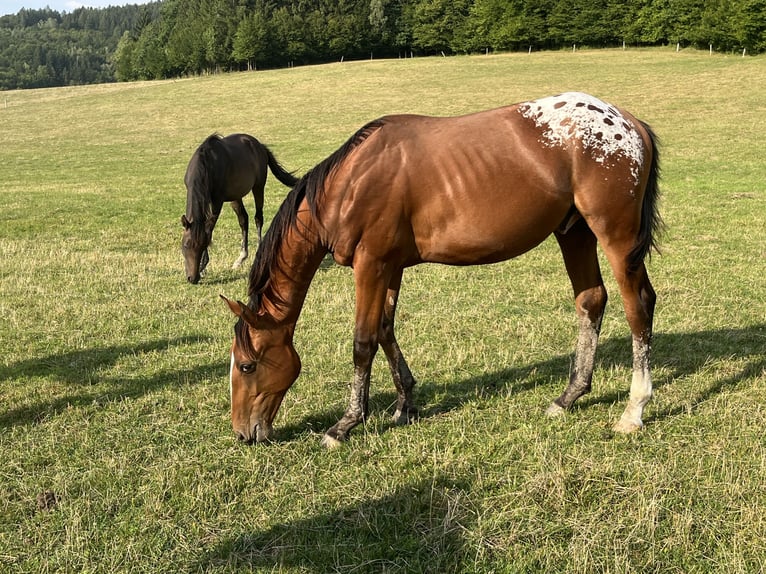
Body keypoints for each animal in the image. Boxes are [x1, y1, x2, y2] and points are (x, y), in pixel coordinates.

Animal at [182, 132, 298, 284]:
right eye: (185, 245)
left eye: (202, 246)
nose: (193, 278)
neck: (207, 165)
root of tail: (260, 146)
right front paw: (204, 268)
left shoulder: (217, 201)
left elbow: (209, 229)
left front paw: (203, 266)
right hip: (235, 196)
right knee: (244, 219)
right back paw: (241, 258)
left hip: (258, 187)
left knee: (258, 218)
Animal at [222, 92, 664, 448]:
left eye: (247, 365)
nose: (243, 434)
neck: (349, 184)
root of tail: (628, 121)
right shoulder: (391, 267)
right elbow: (385, 329)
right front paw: (405, 404)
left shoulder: (371, 265)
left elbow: (363, 342)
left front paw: (345, 424)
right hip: (574, 232)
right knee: (591, 301)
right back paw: (568, 396)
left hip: (615, 235)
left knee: (638, 306)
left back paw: (634, 409)